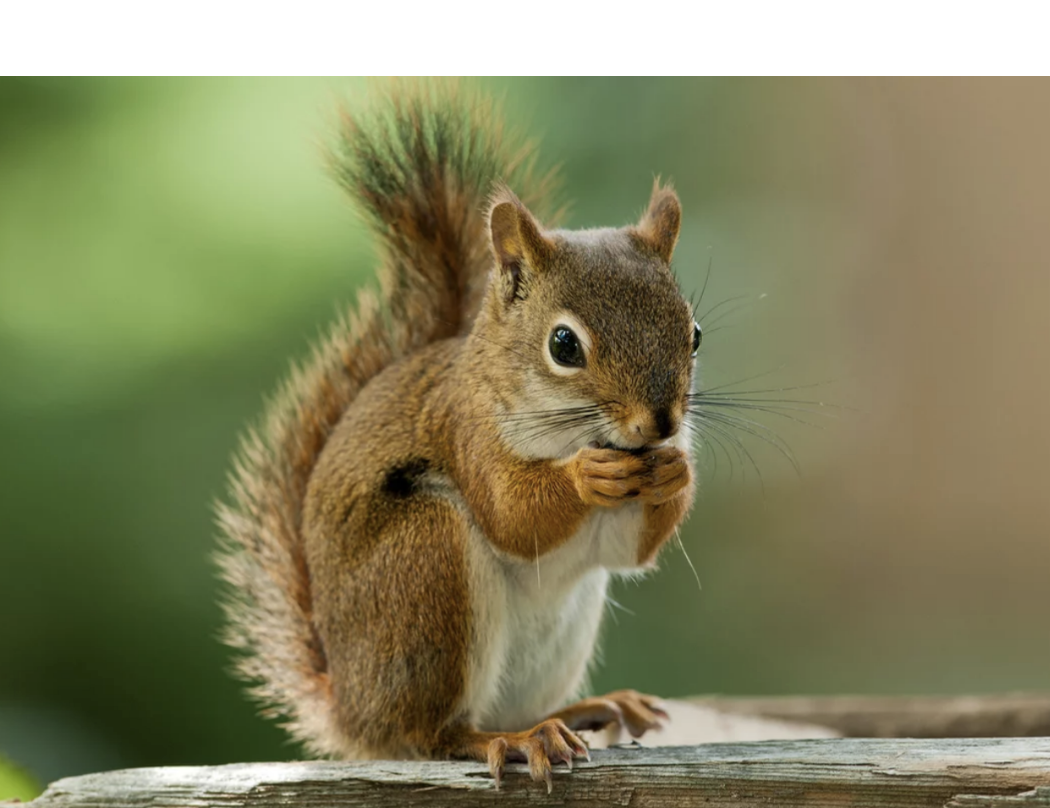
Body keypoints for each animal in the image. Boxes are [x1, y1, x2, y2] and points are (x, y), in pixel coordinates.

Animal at [216, 81, 699, 790]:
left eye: (695, 334)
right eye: (564, 345)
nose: (661, 423)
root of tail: (353, 713)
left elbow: (628, 549)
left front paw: (676, 471)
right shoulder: (467, 432)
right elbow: (511, 513)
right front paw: (586, 476)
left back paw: (585, 710)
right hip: (426, 565)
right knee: (435, 735)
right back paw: (512, 740)